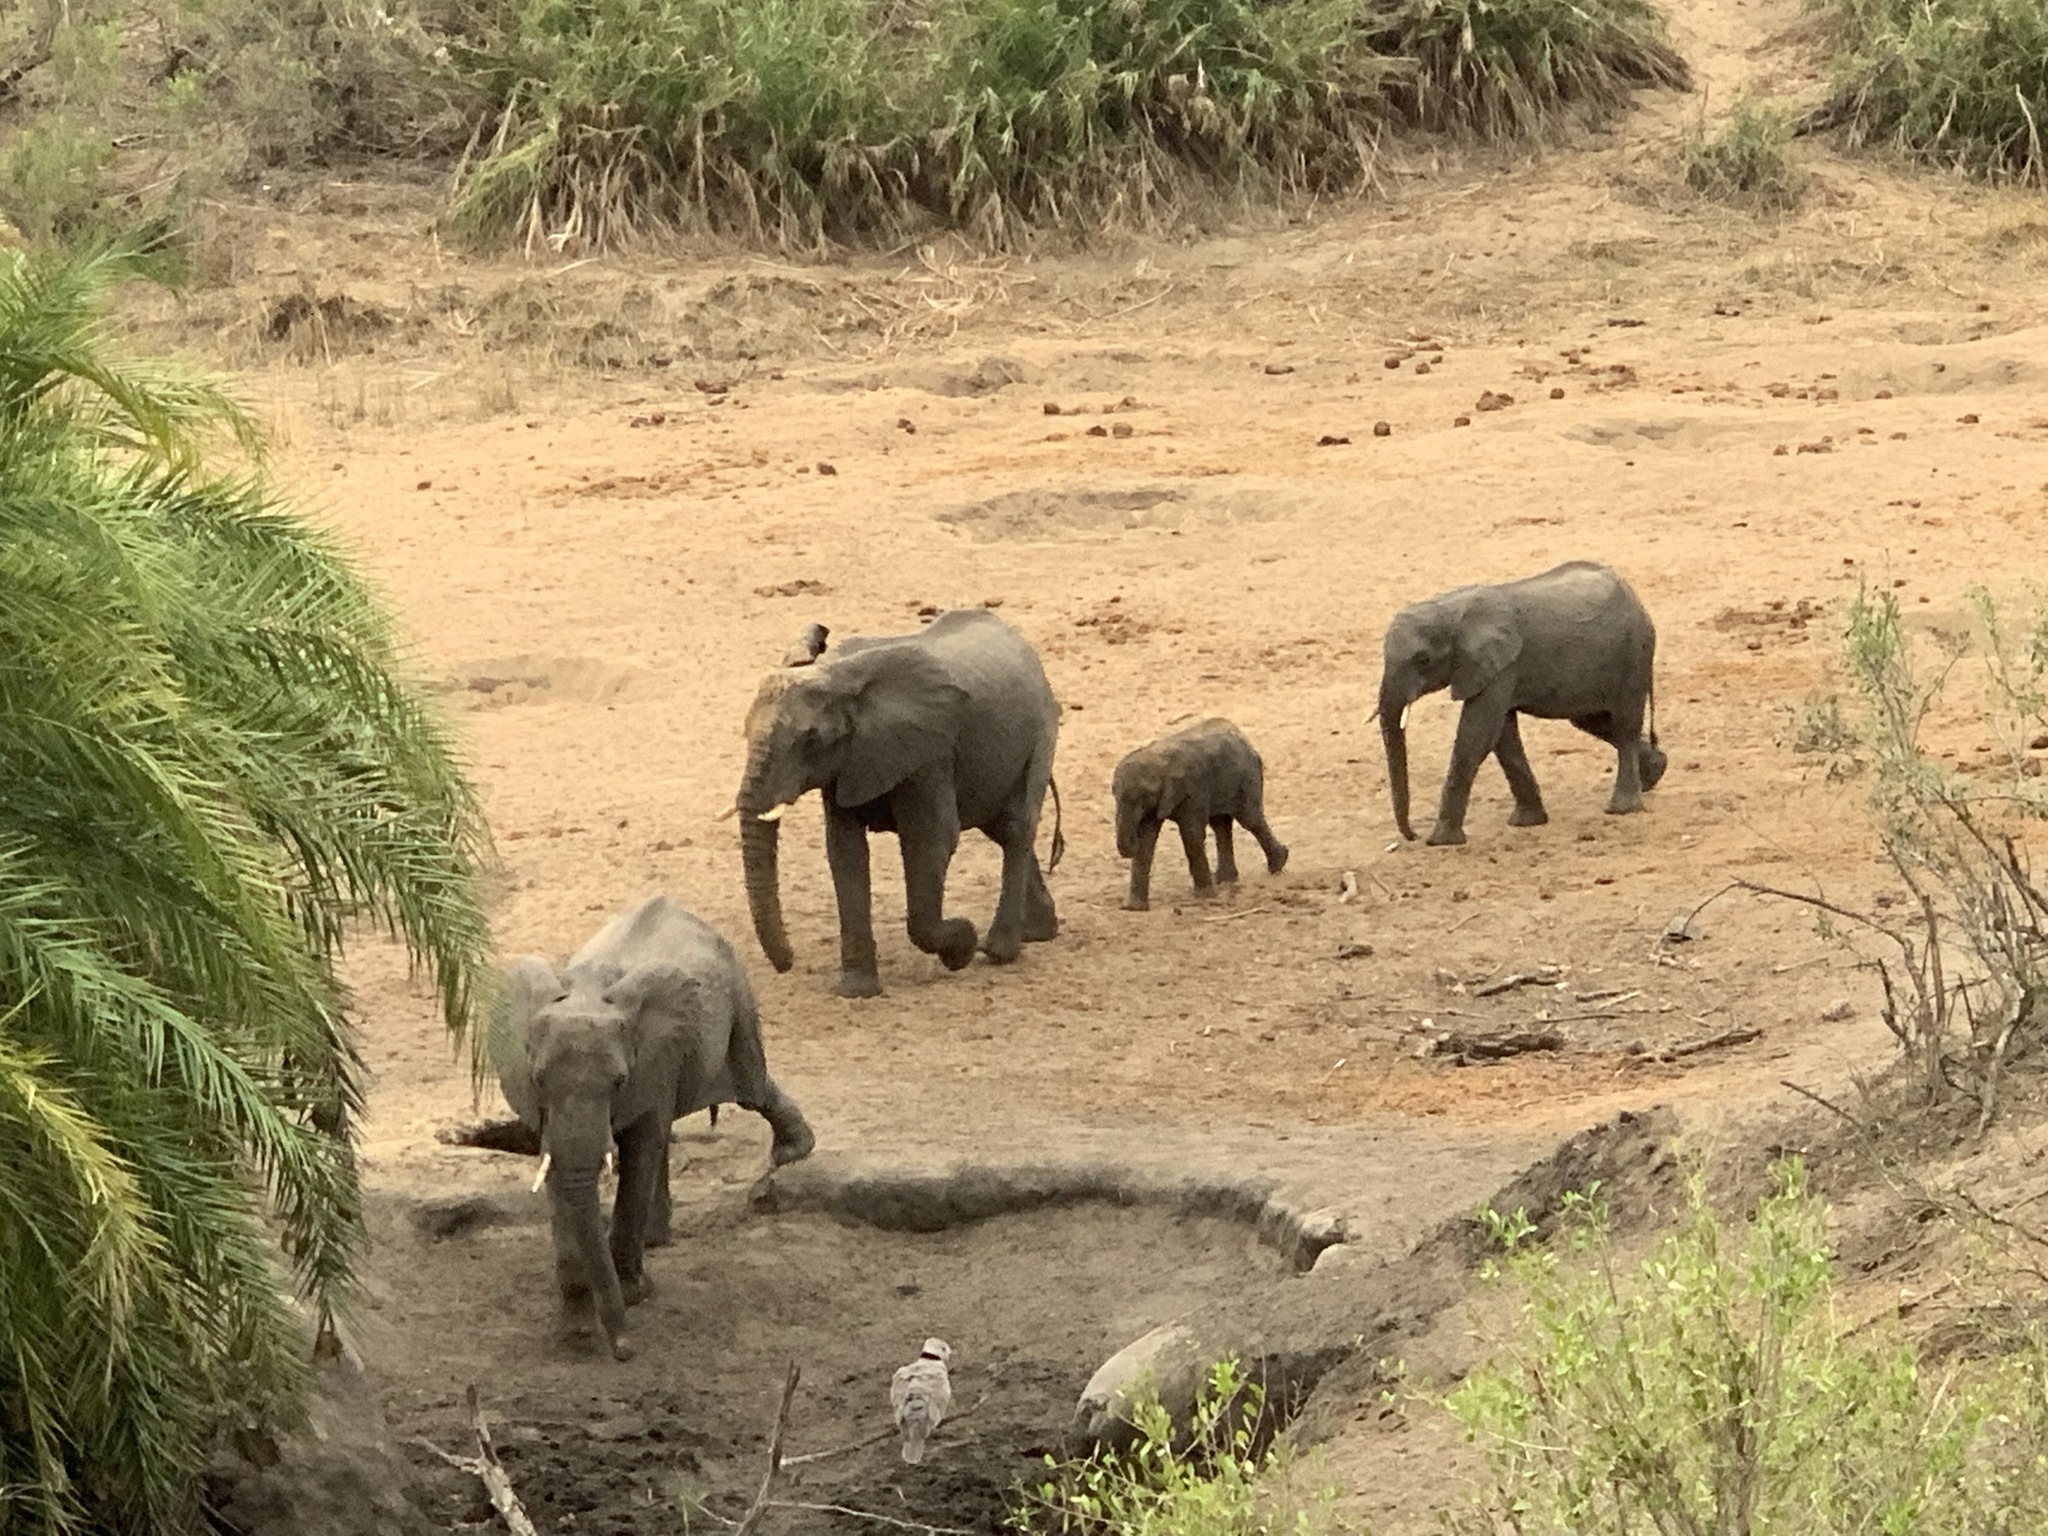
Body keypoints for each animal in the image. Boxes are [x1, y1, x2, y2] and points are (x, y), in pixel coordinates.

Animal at [491, 897, 811, 1368]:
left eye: (619, 1082)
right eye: (539, 1080)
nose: (624, 1350)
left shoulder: (654, 1060)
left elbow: (641, 1148)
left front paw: (633, 1296)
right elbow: (559, 1172)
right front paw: (577, 1336)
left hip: (739, 993)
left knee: (750, 1085)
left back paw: (793, 1150)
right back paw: (657, 1240)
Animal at [737, 606, 1064, 1003]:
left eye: (811, 740)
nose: (788, 963)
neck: (838, 676)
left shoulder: (930, 754)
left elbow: (931, 841)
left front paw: (963, 946)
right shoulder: (848, 761)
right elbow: (845, 852)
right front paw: (857, 992)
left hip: (1040, 732)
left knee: (1016, 828)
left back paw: (998, 951)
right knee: (1002, 829)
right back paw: (1039, 933)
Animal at [1114, 720, 1286, 913]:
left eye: (1145, 796)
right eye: (1114, 794)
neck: (1159, 760)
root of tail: (1245, 739)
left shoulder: (1193, 790)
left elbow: (1191, 835)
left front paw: (1204, 896)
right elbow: (1147, 841)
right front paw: (1134, 908)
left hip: (1247, 777)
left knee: (1250, 820)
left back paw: (1278, 864)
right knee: (1220, 825)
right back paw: (1223, 879)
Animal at [1376, 561, 1662, 847]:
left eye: (1423, 660)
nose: (1413, 835)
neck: (1452, 608)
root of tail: (1635, 597)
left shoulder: (1502, 666)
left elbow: (1476, 737)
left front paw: (1440, 841)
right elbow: (1503, 738)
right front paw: (1527, 822)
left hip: (1634, 652)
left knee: (1624, 726)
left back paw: (1623, 808)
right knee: (1595, 721)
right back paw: (1654, 774)